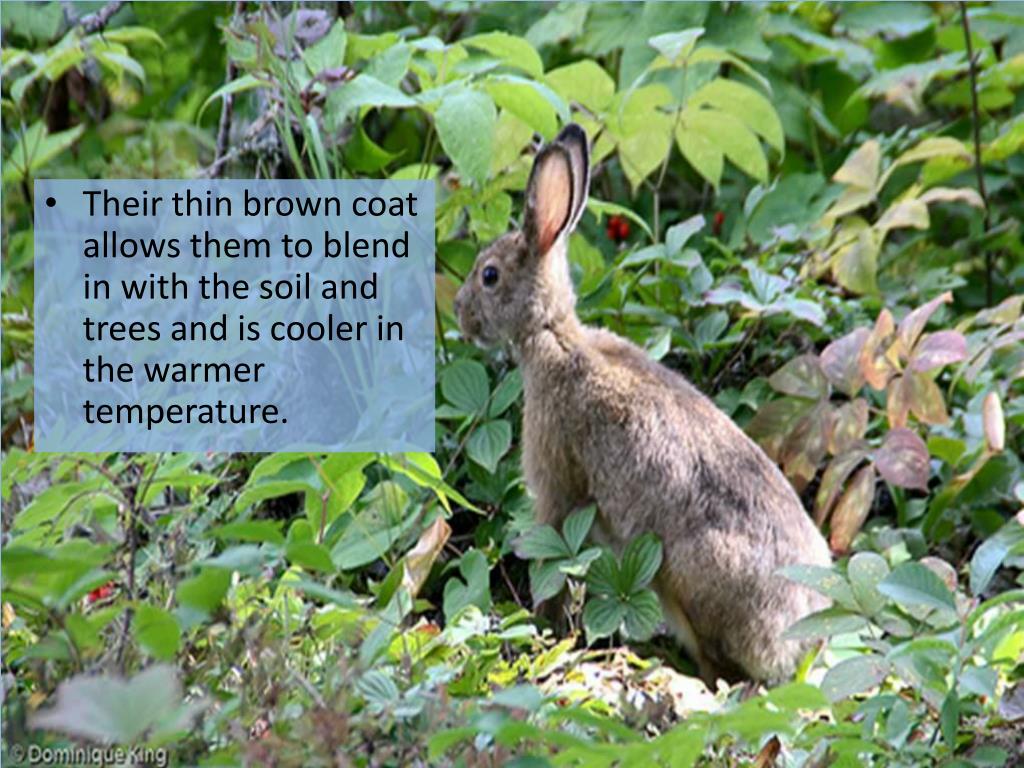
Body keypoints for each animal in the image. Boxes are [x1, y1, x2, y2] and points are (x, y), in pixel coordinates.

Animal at [453, 123, 832, 686]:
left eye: (490, 275)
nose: (461, 314)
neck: (553, 333)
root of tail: (801, 640)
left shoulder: (556, 481)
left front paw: (543, 626)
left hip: (690, 578)